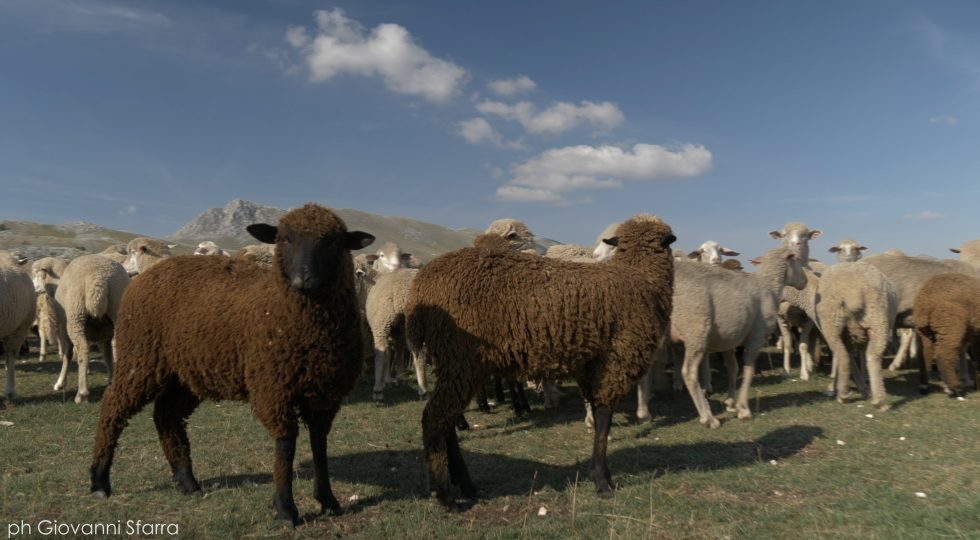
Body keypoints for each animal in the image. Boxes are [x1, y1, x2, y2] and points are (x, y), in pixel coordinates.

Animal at [52, 254, 130, 400]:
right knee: (116, 346)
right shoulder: (103, 335)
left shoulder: (64, 329)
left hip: (75, 317)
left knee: (82, 348)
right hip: (117, 310)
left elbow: (67, 354)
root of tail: (99, 279)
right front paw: (110, 380)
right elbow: (107, 356)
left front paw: (60, 383)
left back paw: (82, 393)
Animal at [89, 202, 376, 524]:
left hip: (186, 373)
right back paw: (99, 481)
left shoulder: (326, 394)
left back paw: (187, 481)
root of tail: (146, 275)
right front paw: (285, 508)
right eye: (284, 239)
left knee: (166, 416)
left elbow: (319, 443)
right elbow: (286, 444)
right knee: (113, 406)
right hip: (140, 358)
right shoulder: (272, 387)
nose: (304, 280)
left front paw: (328, 500)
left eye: (334, 242)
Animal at [404, 214, 672, 506]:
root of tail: (419, 288)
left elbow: (597, 412)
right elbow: (604, 419)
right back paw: (444, 492)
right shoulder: (615, 360)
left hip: (453, 361)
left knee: (447, 421)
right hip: (461, 359)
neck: (641, 276)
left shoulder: (591, 366)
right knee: (434, 417)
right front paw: (602, 481)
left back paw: (466, 485)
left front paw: (602, 474)